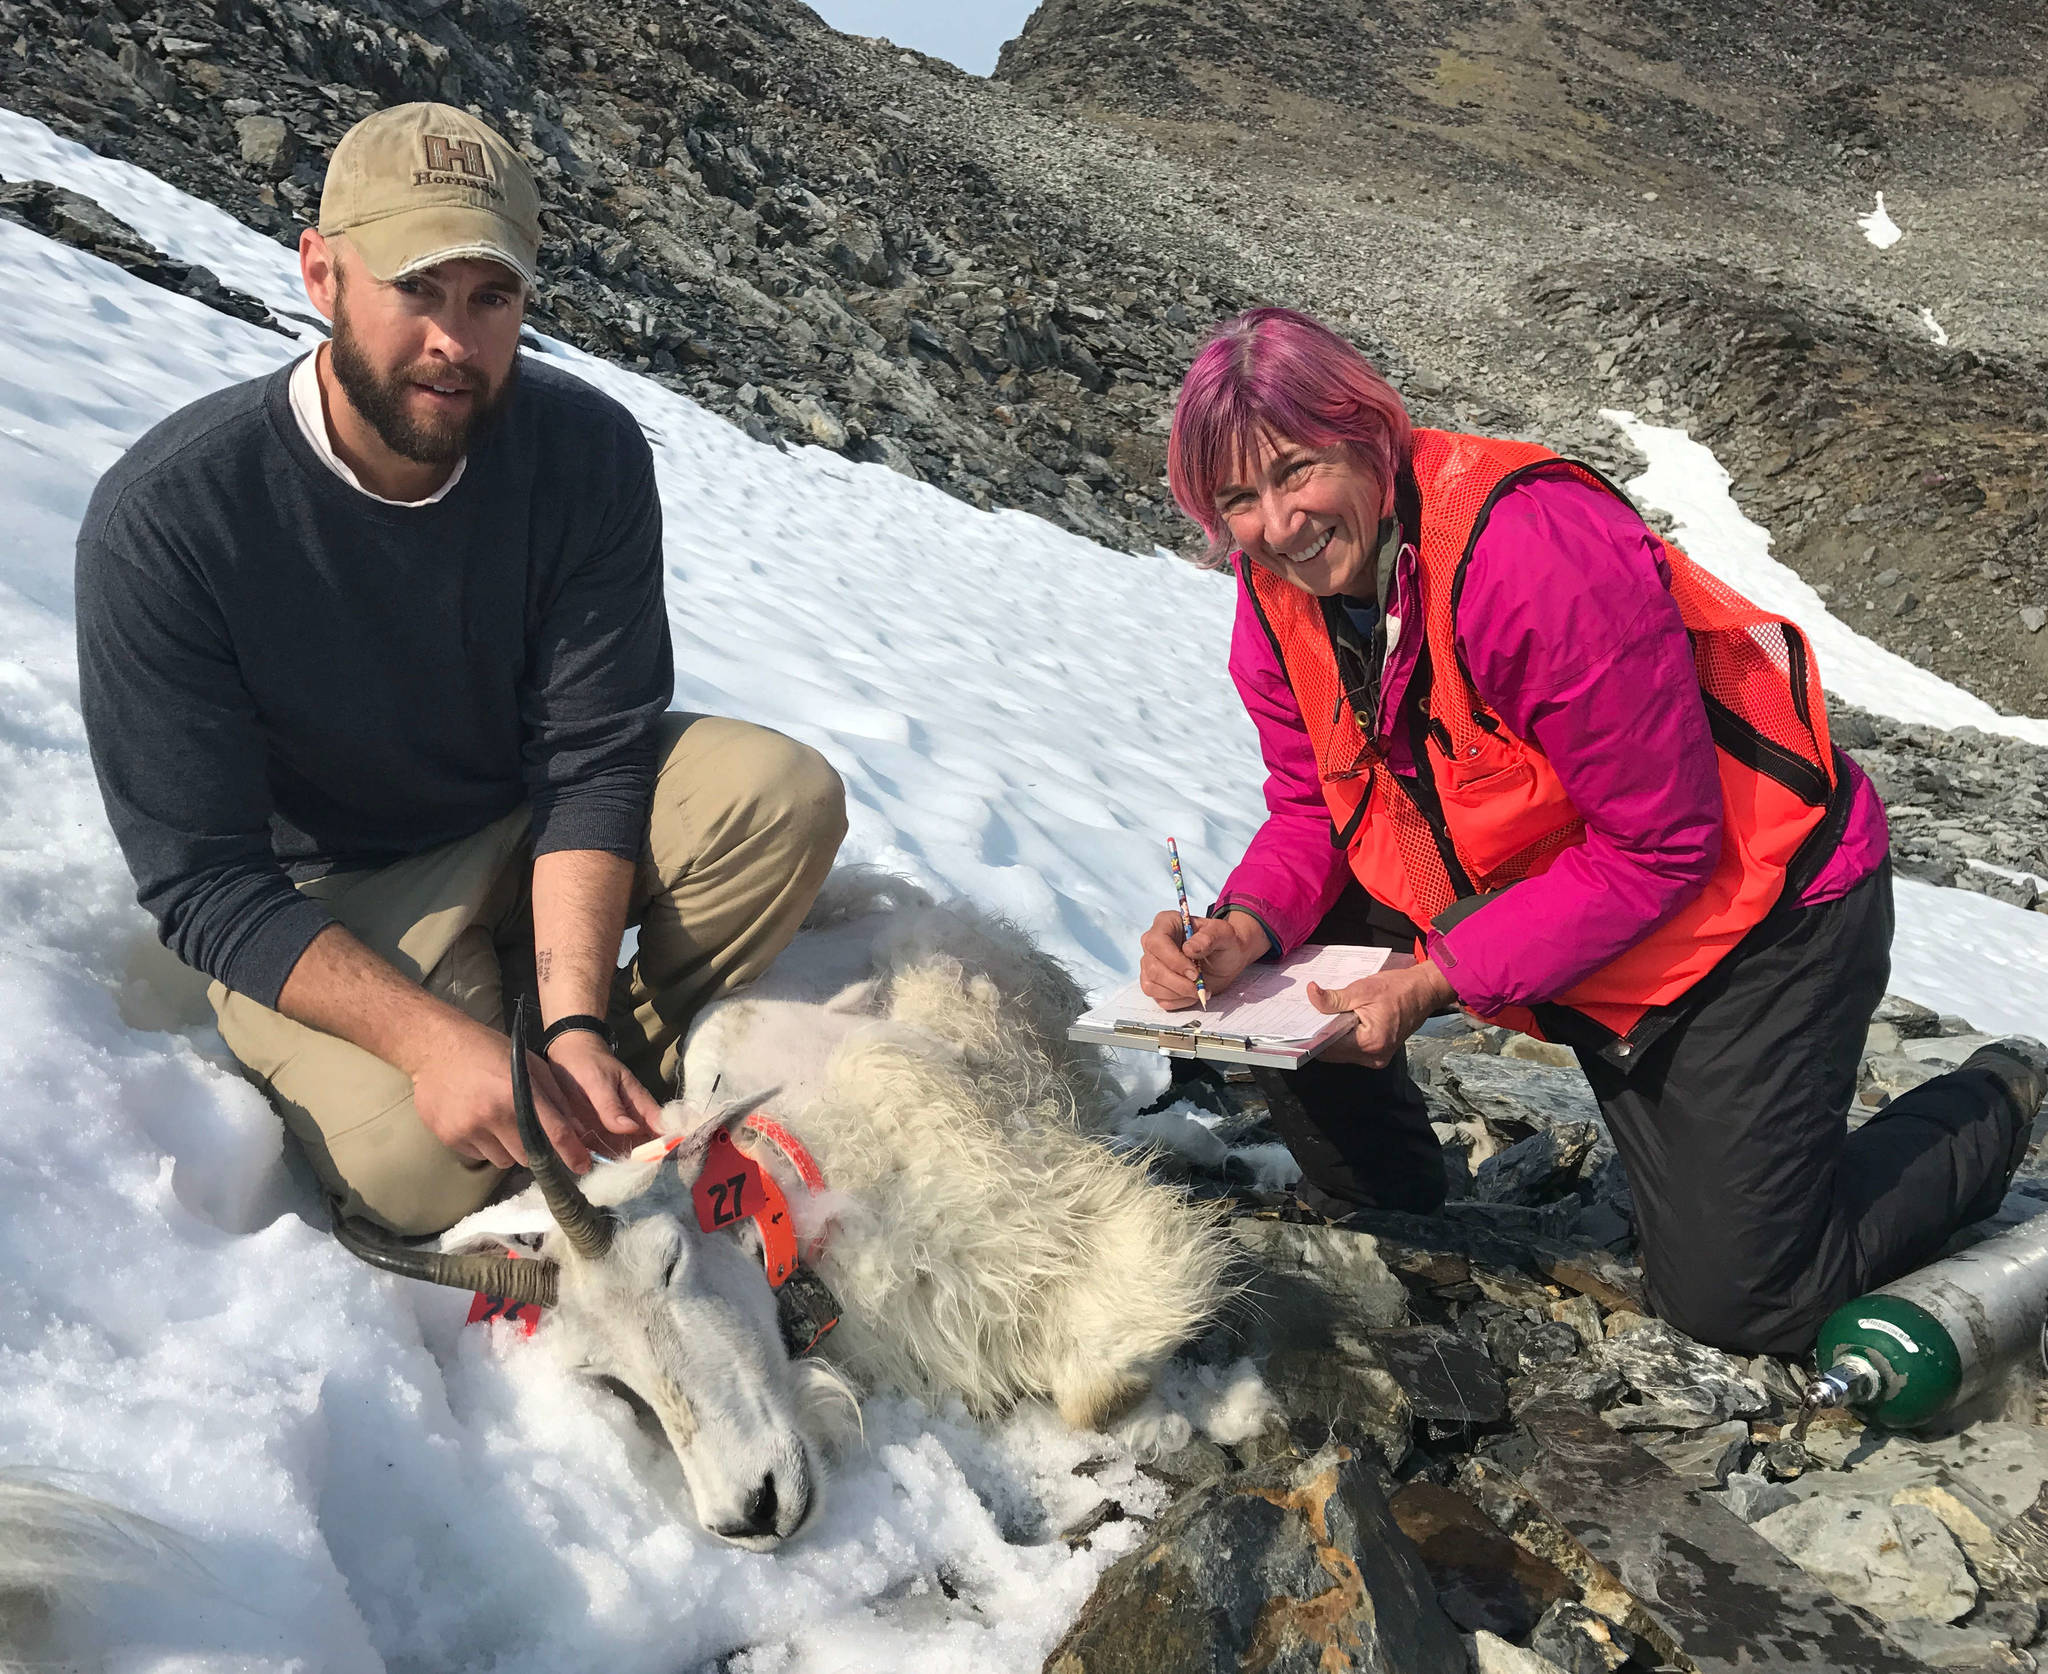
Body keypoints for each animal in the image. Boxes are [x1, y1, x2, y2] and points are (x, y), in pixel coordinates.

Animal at [339, 876, 1228, 1540]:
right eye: (602, 1373)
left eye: (670, 1261)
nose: (750, 1514)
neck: (791, 1191)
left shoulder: (1037, 1205)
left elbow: (1098, 1377)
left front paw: (1186, 1415)